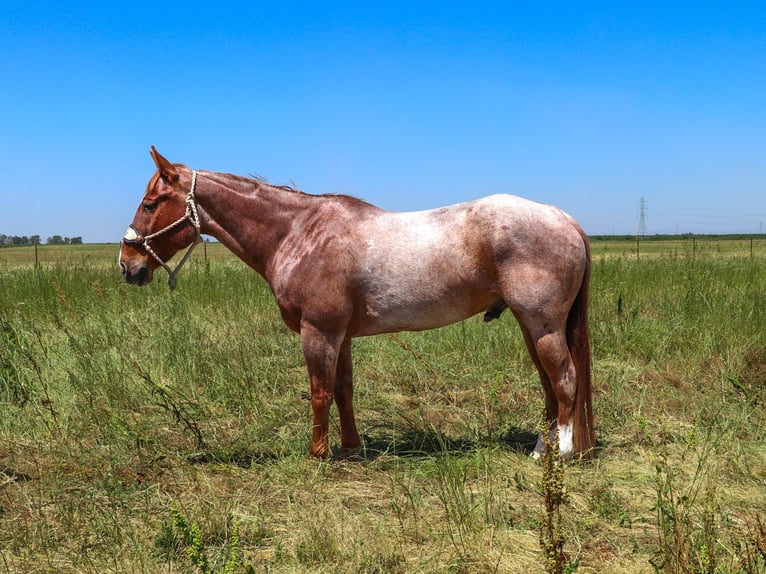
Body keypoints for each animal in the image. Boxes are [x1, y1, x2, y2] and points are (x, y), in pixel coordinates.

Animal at [120, 146, 596, 462]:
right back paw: (542, 448)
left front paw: (318, 453)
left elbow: (319, 391)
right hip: (530, 326)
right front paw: (350, 448)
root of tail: (564, 218)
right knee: (549, 385)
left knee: (565, 380)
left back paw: (562, 452)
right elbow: (343, 391)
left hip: (542, 325)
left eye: (150, 203)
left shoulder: (319, 332)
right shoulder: (341, 335)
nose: (128, 265)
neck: (298, 233)